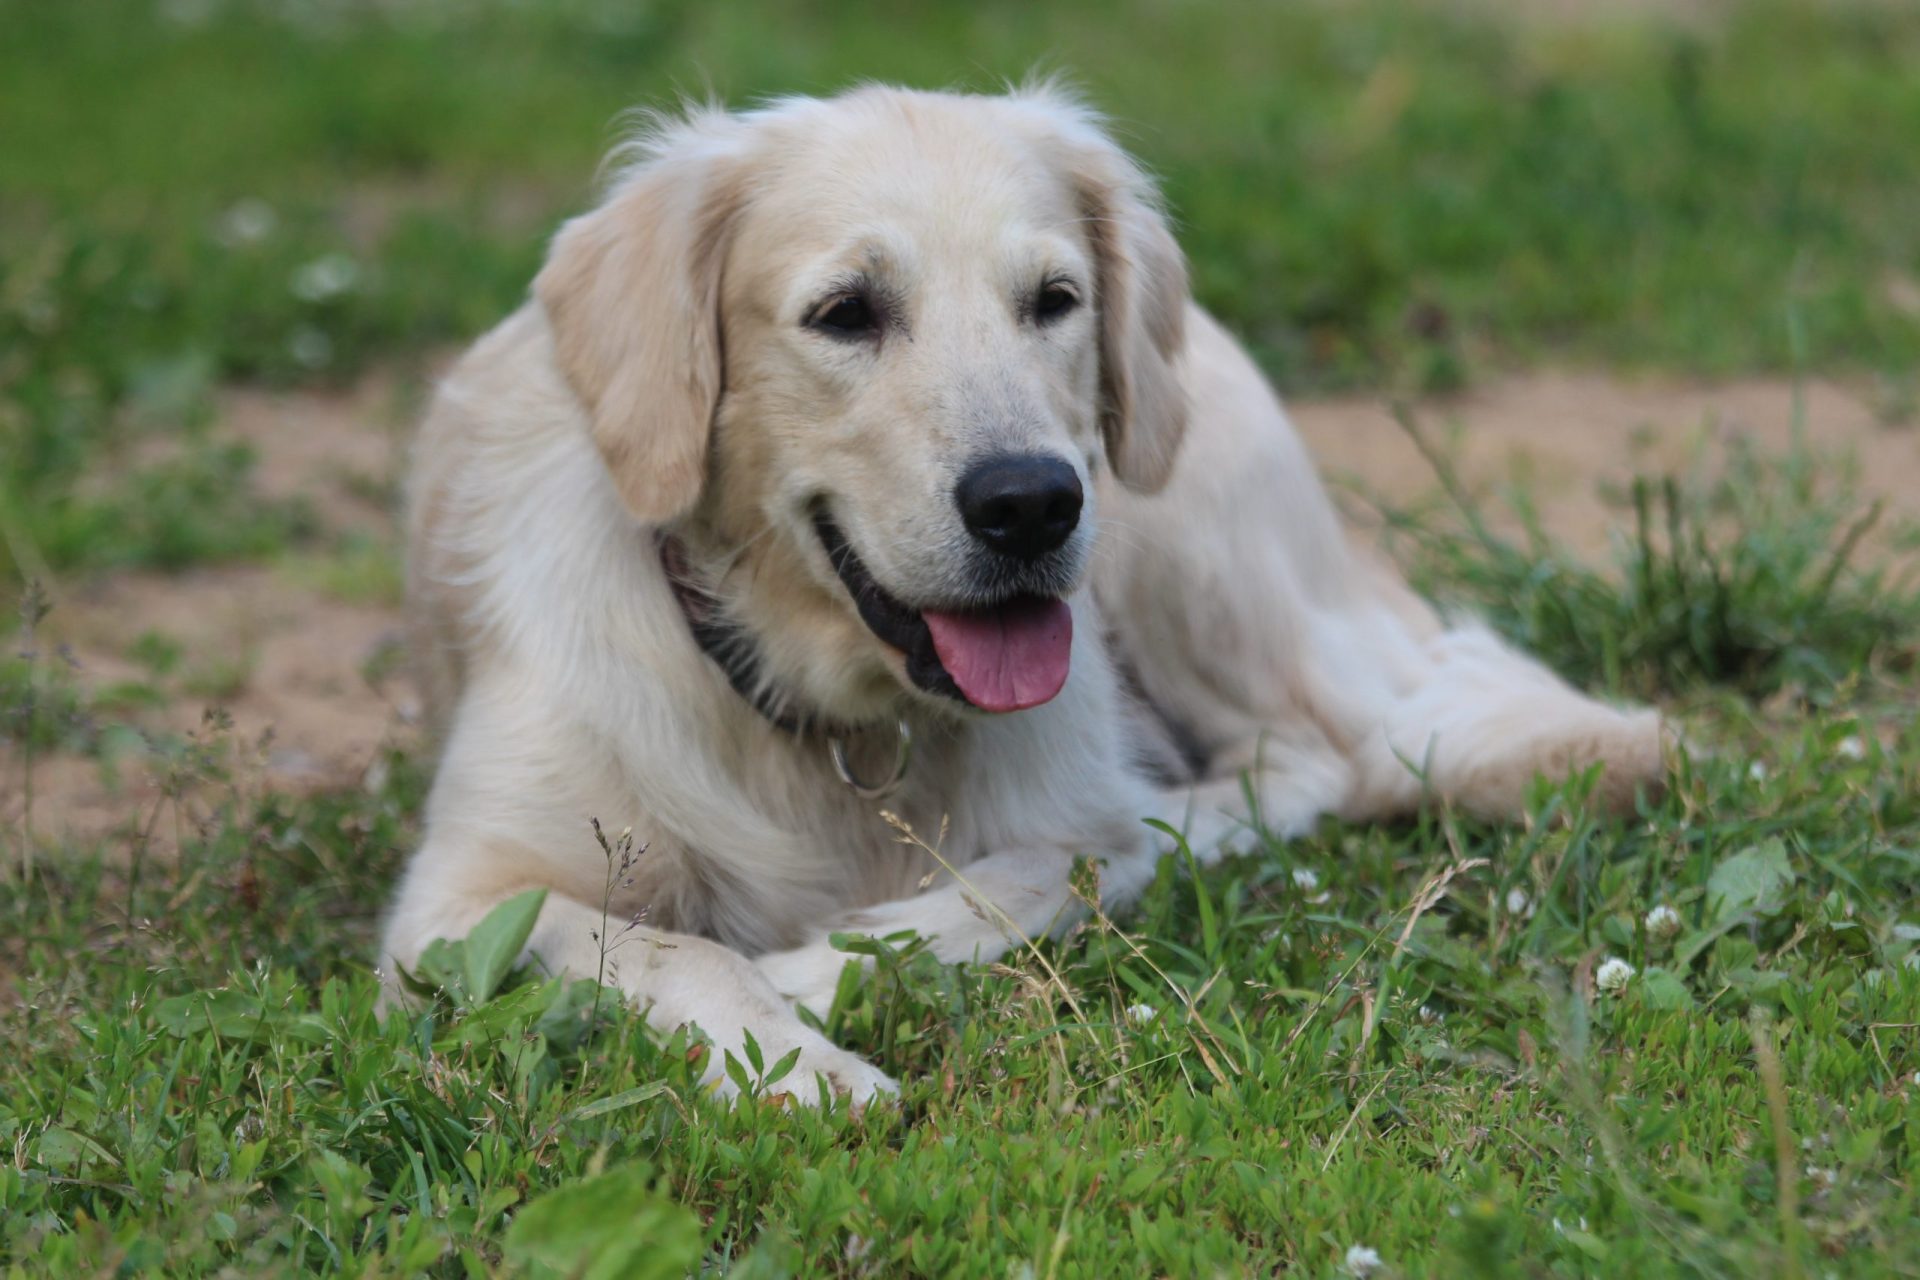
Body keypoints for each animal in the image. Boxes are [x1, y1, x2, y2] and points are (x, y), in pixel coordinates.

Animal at [378, 82, 1666, 1105]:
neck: (838, 721)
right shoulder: (455, 904)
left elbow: (1048, 870)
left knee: (1316, 759)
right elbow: (663, 949)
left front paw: (814, 977)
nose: (1032, 502)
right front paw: (796, 1061)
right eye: (845, 311)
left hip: (1192, 539)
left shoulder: (1065, 813)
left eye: (1054, 298)